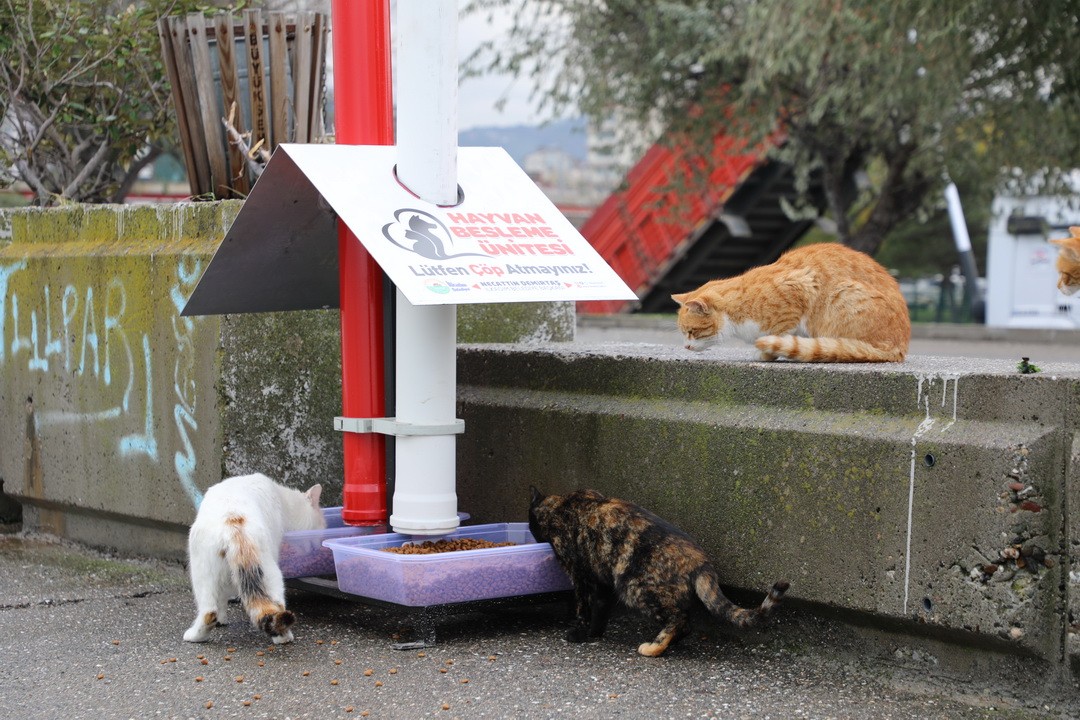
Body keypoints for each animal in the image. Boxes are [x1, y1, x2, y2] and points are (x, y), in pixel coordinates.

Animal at [183, 474, 324, 643]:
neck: (282, 500)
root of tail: (234, 525)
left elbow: (222, 598)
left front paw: (222, 619)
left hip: (203, 572)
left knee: (209, 612)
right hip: (266, 572)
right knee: (276, 607)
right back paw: (283, 638)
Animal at [527, 487, 790, 656]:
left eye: (530, 524)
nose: (532, 533)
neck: (560, 504)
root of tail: (701, 561)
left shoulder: (579, 574)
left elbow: (583, 608)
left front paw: (578, 633)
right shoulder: (600, 580)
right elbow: (600, 607)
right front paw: (594, 633)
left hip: (634, 587)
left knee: (678, 618)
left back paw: (654, 648)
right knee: (685, 623)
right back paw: (667, 643)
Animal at [669, 245, 907, 362]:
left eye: (691, 332)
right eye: (685, 334)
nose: (685, 346)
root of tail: (899, 347)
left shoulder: (798, 288)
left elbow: (778, 336)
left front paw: (765, 354)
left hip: (842, 295)